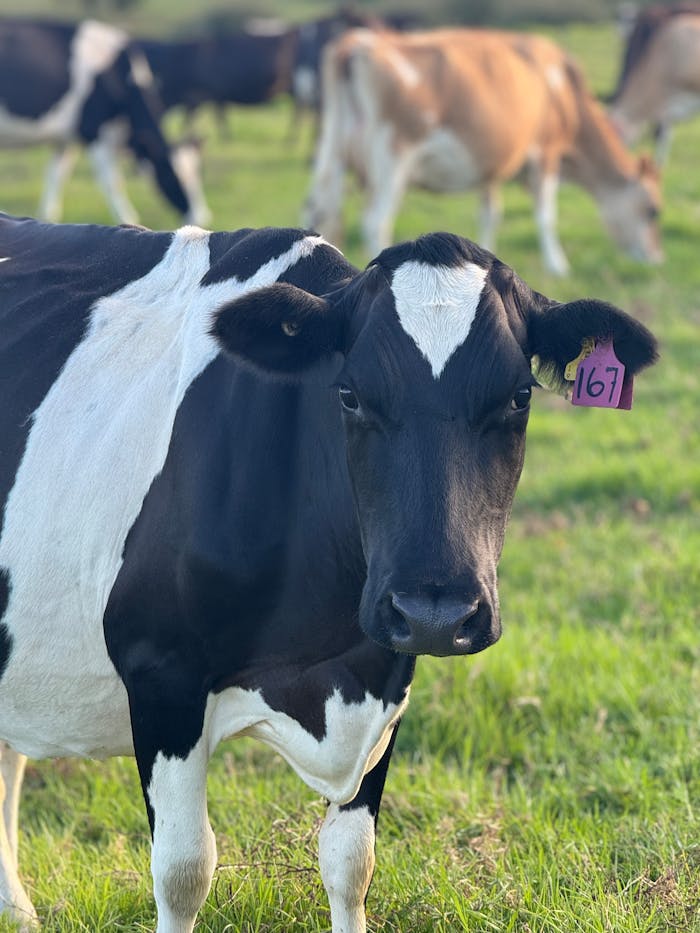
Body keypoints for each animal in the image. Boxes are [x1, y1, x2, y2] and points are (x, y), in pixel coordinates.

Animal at [0, 18, 209, 225]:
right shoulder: (95, 131)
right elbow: (112, 181)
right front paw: (128, 218)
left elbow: (57, 176)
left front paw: (48, 216)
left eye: (197, 175)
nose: (200, 216)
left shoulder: (67, 139)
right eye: (170, 175)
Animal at [0, 212, 657, 931]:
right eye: (348, 394)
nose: (435, 612)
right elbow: (183, 871)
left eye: (519, 396)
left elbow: (351, 863)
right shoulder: (161, 673)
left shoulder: (384, 670)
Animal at [304, 28, 663, 277]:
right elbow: (546, 216)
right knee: (376, 222)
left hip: (331, 154)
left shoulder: (491, 168)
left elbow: (491, 214)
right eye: (653, 211)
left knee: (315, 212)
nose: (656, 259)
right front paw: (557, 265)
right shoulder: (547, 153)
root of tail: (357, 43)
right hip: (393, 158)